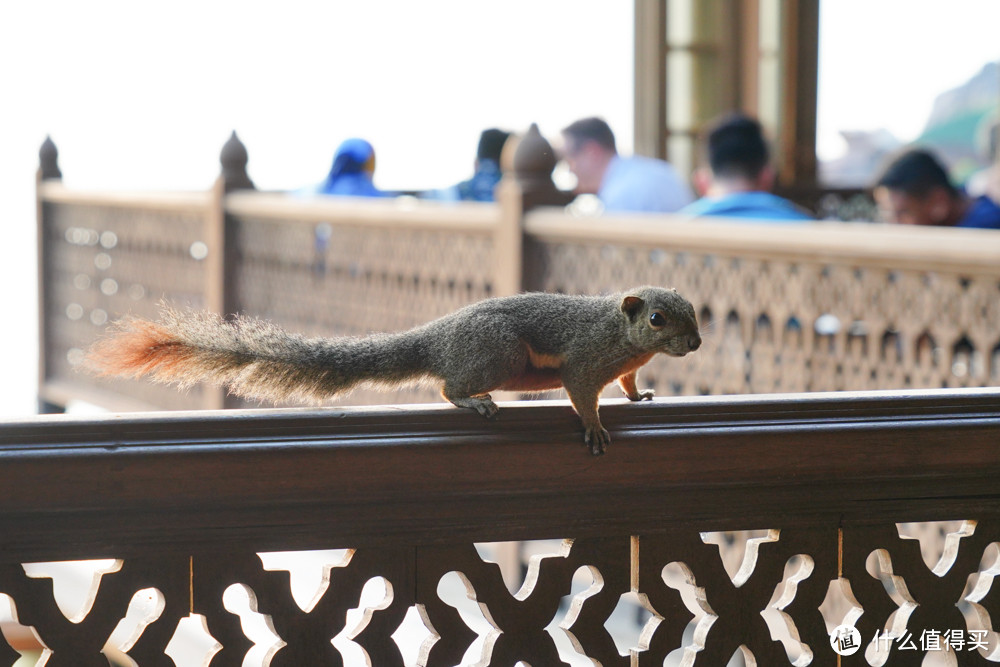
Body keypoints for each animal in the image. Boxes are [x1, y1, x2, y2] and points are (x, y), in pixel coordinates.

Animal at [86, 286, 700, 454]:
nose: (694, 343)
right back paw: (472, 400)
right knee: (448, 385)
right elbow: (581, 394)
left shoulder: (622, 366)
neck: (623, 336)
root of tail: (436, 337)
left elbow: (627, 384)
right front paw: (594, 428)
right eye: (658, 318)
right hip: (496, 354)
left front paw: (639, 396)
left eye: (695, 312)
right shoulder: (585, 361)